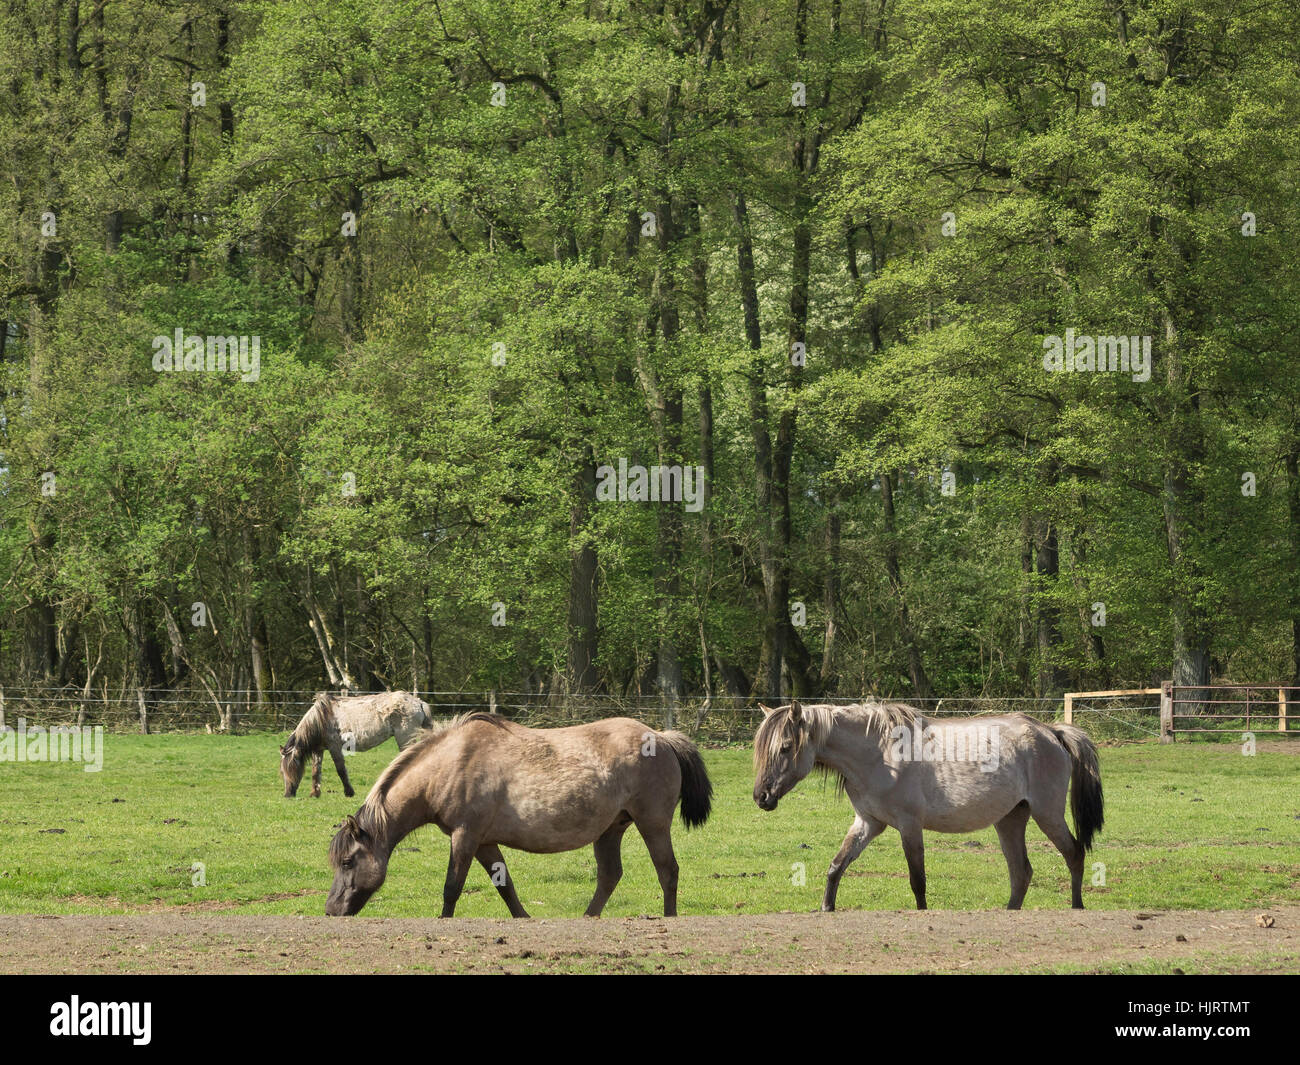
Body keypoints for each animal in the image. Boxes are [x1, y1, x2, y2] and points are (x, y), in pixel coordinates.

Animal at [280, 691, 432, 798]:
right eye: (282, 771)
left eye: (291, 768)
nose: (287, 795)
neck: (321, 719)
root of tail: (419, 703)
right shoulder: (318, 750)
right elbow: (316, 771)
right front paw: (315, 793)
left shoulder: (334, 747)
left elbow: (340, 770)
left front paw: (349, 792)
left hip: (406, 739)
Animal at [325, 713, 712, 917]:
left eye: (347, 862)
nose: (330, 910)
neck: (451, 763)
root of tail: (660, 737)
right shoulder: (483, 843)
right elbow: (505, 886)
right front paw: (523, 918)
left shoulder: (465, 837)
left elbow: (452, 888)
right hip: (610, 830)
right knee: (609, 876)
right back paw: (588, 918)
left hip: (653, 824)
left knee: (667, 871)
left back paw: (669, 918)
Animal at [752, 700, 1103, 911]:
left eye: (785, 747)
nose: (761, 797)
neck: (879, 753)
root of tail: (1051, 732)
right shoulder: (867, 823)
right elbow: (836, 867)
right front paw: (826, 908)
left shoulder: (909, 826)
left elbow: (917, 880)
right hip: (1010, 820)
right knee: (1021, 873)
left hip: (1047, 814)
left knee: (1073, 854)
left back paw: (1077, 907)